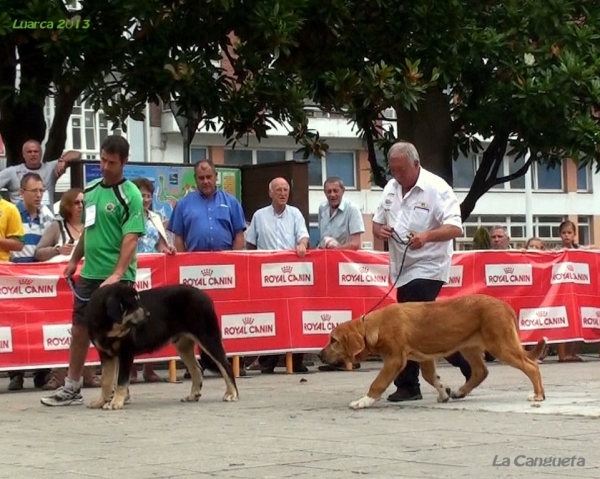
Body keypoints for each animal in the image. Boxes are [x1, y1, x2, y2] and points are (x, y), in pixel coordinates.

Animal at [85, 284, 239, 410]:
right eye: (133, 303)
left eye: (138, 300)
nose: (148, 314)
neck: (108, 325)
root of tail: (204, 295)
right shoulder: (106, 354)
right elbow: (106, 381)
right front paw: (101, 401)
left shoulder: (126, 353)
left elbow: (121, 382)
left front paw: (115, 402)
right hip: (183, 346)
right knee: (197, 369)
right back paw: (193, 395)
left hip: (207, 337)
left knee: (225, 365)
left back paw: (232, 394)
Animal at [322, 294, 548, 410]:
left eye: (334, 341)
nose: (320, 355)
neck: (373, 326)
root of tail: (505, 305)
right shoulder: (424, 358)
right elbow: (431, 377)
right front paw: (444, 393)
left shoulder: (394, 360)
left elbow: (377, 383)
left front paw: (363, 401)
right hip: (469, 347)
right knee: (480, 371)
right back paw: (459, 391)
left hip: (501, 344)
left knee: (531, 366)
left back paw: (538, 395)